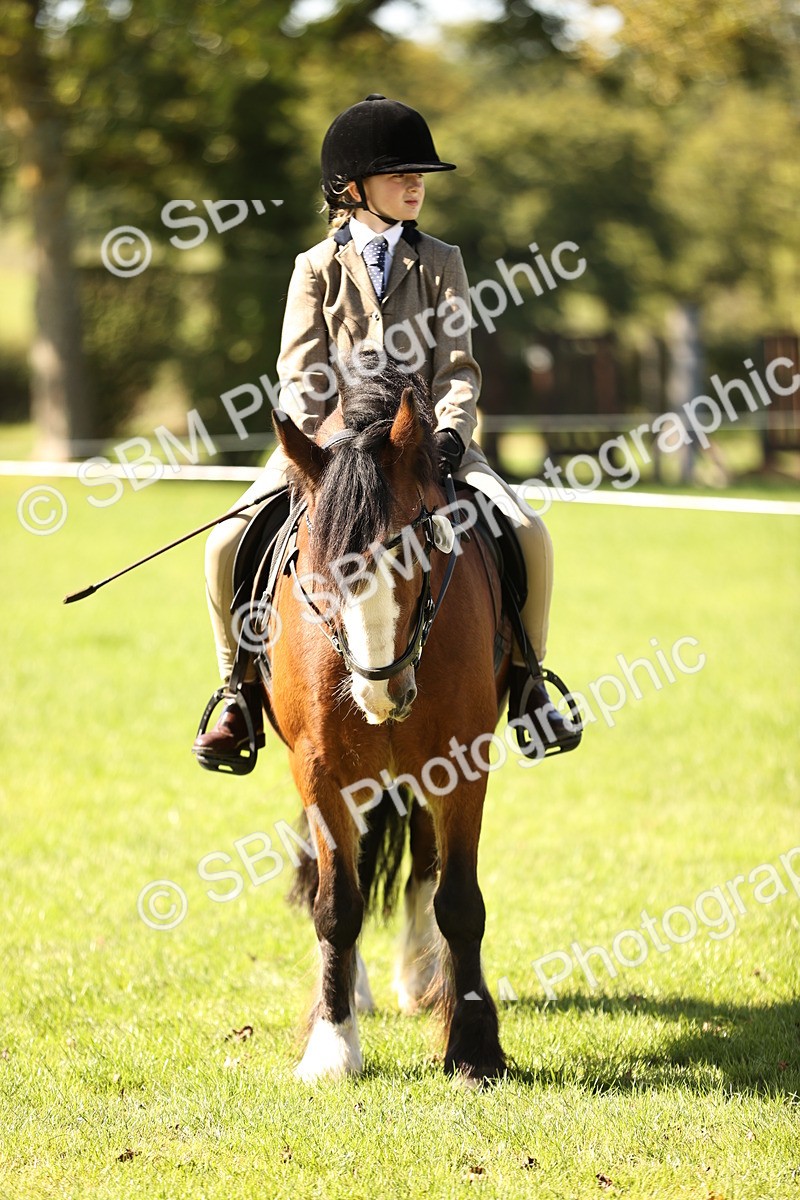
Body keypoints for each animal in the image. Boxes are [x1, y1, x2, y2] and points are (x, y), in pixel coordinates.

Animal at [265, 361, 512, 1084]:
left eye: (418, 544)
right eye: (315, 562)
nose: (383, 689)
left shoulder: (463, 760)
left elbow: (458, 902)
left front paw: (473, 1046)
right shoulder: (318, 769)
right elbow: (336, 904)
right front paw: (332, 1045)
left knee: (424, 867)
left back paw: (422, 979)